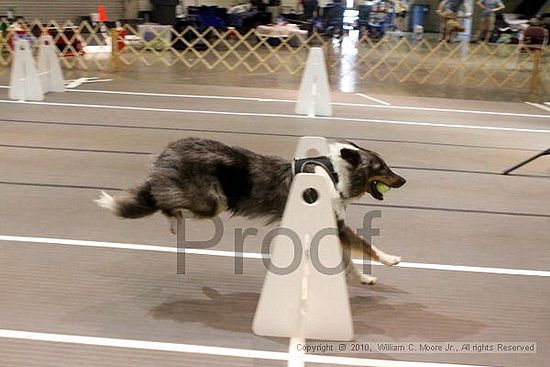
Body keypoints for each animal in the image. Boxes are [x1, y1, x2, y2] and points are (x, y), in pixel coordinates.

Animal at [95, 137, 408, 284]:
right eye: (381, 167)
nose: (403, 180)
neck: (335, 174)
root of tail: (167, 152)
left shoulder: (331, 226)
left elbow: (349, 259)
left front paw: (364, 278)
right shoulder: (337, 225)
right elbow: (366, 245)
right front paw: (391, 259)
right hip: (213, 201)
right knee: (164, 199)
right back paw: (173, 218)